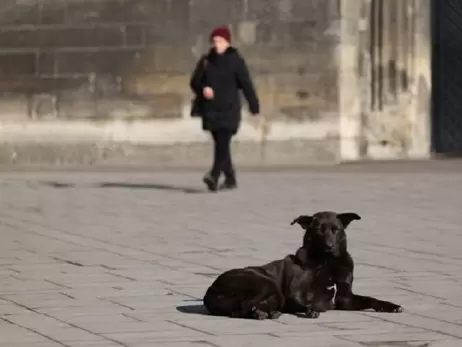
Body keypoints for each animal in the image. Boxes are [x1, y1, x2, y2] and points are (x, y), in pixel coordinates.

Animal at [201, 212, 400, 320]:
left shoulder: (345, 298)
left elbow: (371, 299)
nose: (329, 245)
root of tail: (212, 289)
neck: (327, 262)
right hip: (267, 283)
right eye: (319, 229)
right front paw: (311, 309)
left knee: (245, 309)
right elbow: (305, 302)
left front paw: (391, 306)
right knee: (246, 305)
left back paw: (265, 313)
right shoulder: (293, 293)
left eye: (335, 229)